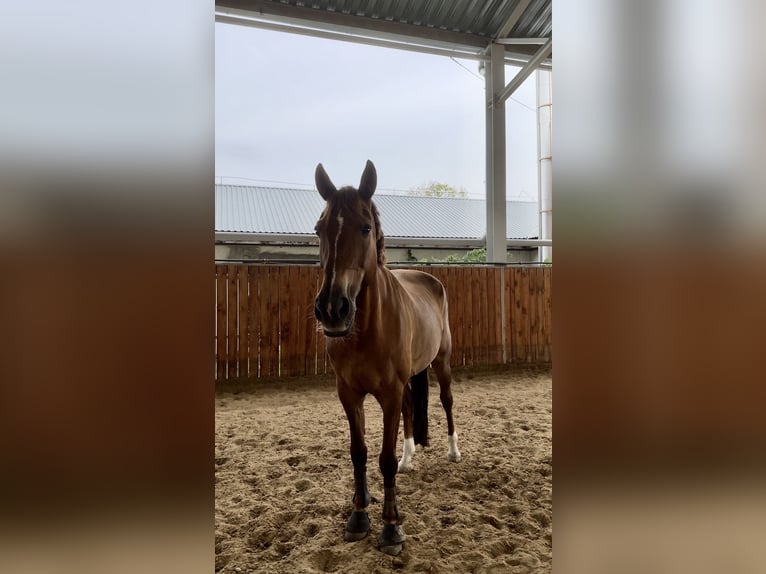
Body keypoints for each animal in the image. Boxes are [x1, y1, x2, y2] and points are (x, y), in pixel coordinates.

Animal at [312, 160, 462, 556]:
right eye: (318, 229)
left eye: (365, 228)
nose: (332, 309)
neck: (365, 330)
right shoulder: (348, 393)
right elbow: (359, 452)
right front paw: (359, 515)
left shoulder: (389, 394)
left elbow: (384, 459)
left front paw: (392, 528)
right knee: (412, 407)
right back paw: (411, 458)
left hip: (441, 363)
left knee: (446, 400)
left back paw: (454, 451)